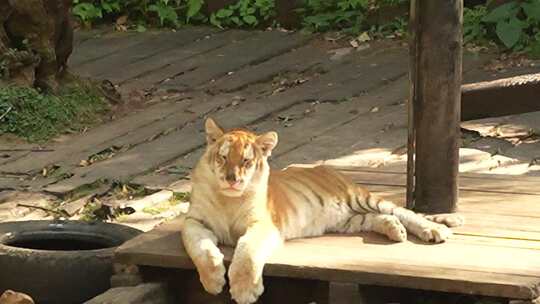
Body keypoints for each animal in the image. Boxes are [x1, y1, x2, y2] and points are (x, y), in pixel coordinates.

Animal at [181, 117, 464, 304]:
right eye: (223, 157)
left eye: (246, 161)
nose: (231, 179)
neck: (227, 199)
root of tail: (329, 168)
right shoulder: (194, 222)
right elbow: (200, 249)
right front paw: (213, 281)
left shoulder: (263, 226)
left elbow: (247, 253)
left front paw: (243, 291)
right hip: (346, 220)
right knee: (377, 218)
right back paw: (395, 231)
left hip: (361, 198)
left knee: (405, 212)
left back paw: (434, 230)